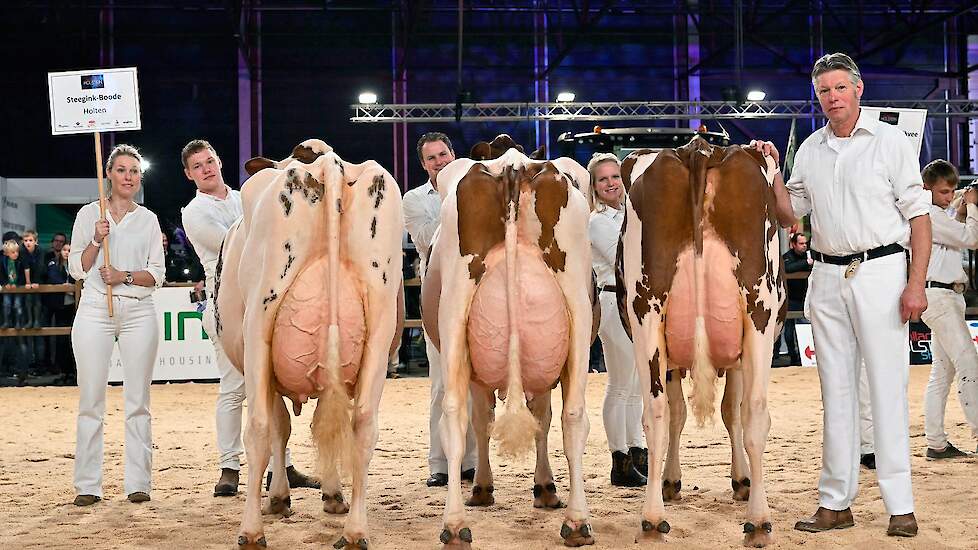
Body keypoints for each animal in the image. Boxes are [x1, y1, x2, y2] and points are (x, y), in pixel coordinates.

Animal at [216, 140, 404, 548]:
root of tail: (327, 164)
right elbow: (323, 423)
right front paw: (332, 496)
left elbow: (280, 426)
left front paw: (279, 498)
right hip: (380, 330)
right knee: (363, 424)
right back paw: (355, 531)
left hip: (259, 326)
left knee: (257, 427)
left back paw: (251, 531)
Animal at [426, 136, 600, 548]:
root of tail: (513, 163)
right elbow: (538, 418)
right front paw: (543, 488)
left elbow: (487, 419)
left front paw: (488, 488)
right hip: (577, 317)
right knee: (573, 415)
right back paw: (577, 521)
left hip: (455, 314)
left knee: (454, 415)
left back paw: (454, 524)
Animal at [616, 137, 784, 548]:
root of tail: (701, 148)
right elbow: (730, 412)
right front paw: (739, 479)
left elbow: (683, 412)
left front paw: (674, 480)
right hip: (759, 312)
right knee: (754, 412)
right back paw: (757, 519)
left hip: (647, 314)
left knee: (656, 412)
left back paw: (653, 517)